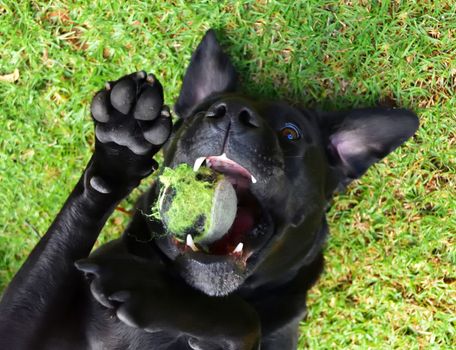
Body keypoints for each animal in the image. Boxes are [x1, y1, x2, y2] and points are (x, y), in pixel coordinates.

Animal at [0, 30, 416, 350]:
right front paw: (121, 145)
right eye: (206, 111)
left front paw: (149, 291)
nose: (230, 114)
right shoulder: (16, 324)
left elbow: (247, 319)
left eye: (290, 133)